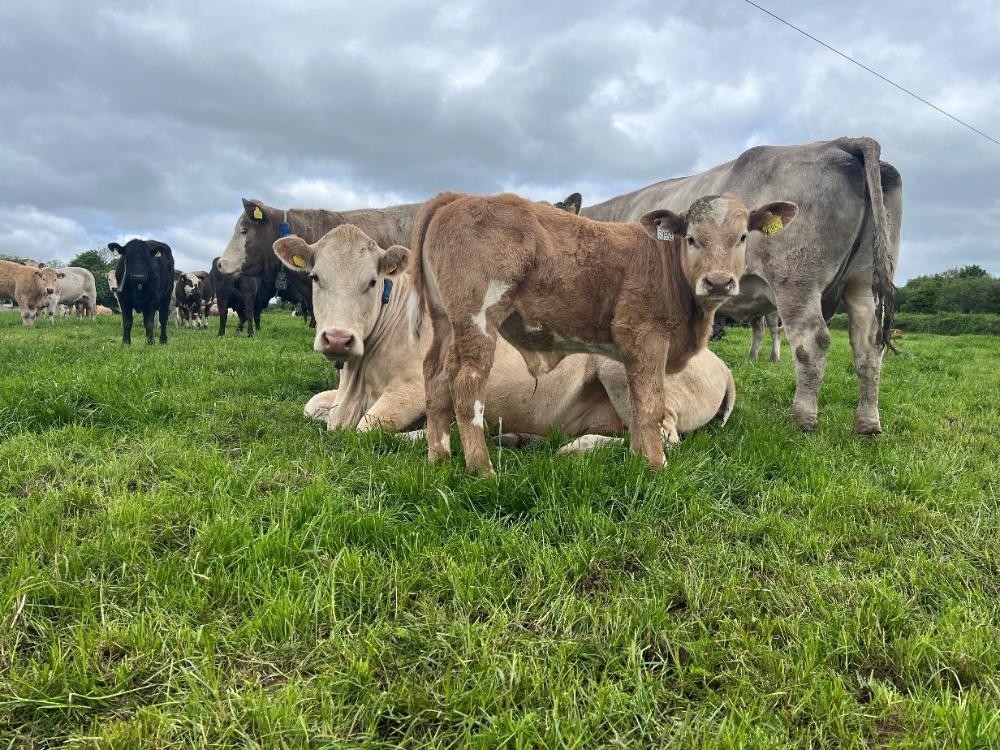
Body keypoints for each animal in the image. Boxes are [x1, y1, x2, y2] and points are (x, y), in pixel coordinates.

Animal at [273, 224, 735, 453]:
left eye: (372, 281)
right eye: (315, 277)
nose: (337, 339)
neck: (359, 376)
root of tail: (720, 362)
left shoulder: (411, 389)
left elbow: (365, 430)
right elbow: (312, 408)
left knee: (660, 437)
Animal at [408, 191, 797, 474]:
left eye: (743, 237)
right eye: (691, 238)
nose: (718, 281)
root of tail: (457, 197)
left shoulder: (628, 352)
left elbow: (638, 408)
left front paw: (640, 456)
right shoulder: (645, 335)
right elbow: (651, 406)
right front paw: (655, 465)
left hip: (445, 323)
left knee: (435, 377)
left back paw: (440, 456)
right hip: (478, 319)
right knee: (467, 385)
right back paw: (483, 468)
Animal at [581, 137, 900, 434]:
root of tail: (840, 142)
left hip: (796, 283)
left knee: (812, 342)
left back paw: (802, 419)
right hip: (862, 285)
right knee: (868, 347)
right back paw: (867, 424)